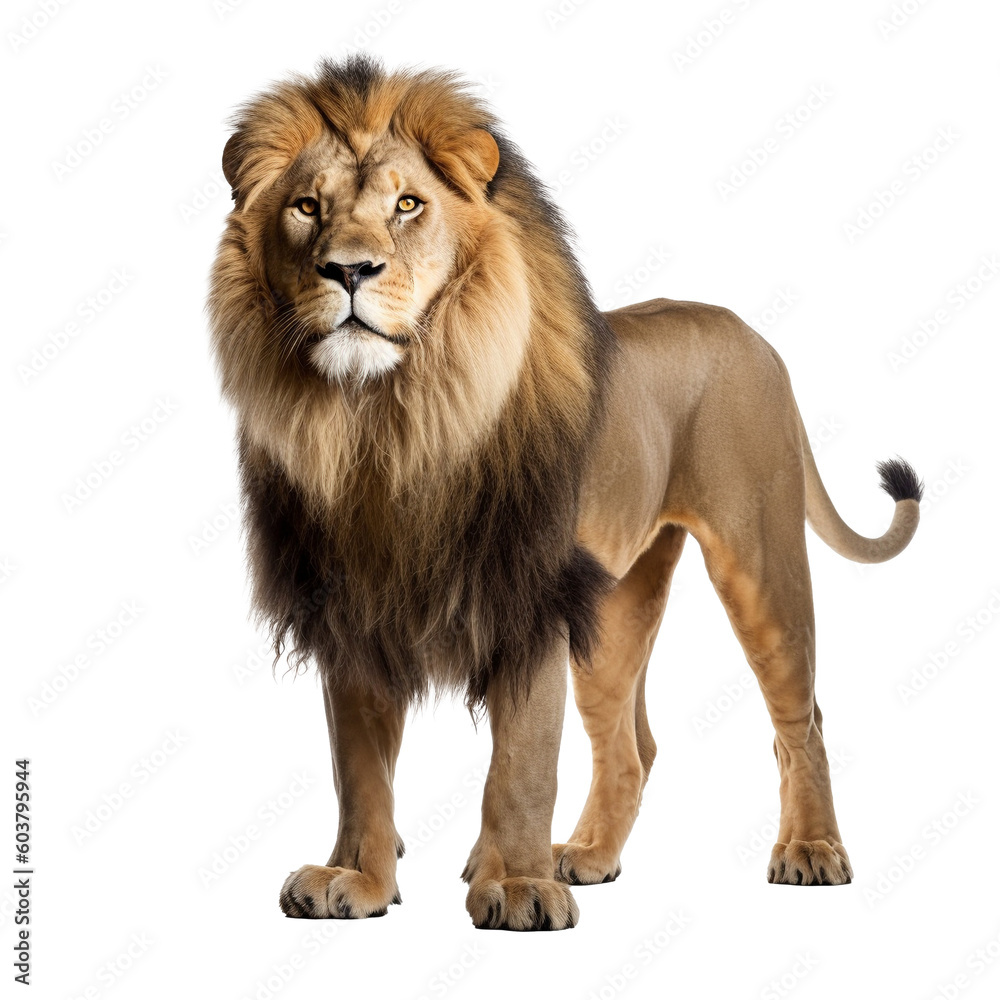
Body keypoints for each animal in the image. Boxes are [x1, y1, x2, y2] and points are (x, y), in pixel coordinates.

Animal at [208, 55, 922, 931]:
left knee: (803, 718)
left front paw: (516, 888)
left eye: (408, 205)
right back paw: (584, 855)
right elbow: (359, 770)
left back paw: (811, 852)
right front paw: (357, 880)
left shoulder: (533, 598)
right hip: (618, 601)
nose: (348, 270)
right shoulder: (351, 608)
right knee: (632, 743)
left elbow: (521, 764)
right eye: (308, 208)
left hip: (760, 561)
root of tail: (749, 331)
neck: (388, 425)